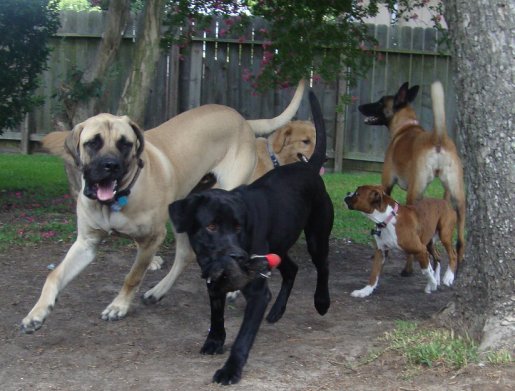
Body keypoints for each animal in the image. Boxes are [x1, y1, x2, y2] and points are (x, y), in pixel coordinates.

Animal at [21, 79, 306, 334]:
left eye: (125, 143)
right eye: (93, 142)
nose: (110, 166)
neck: (116, 199)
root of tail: (242, 119)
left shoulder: (152, 238)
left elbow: (133, 276)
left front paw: (118, 306)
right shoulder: (86, 242)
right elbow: (54, 276)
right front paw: (36, 313)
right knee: (185, 255)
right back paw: (157, 292)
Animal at [169, 91, 334, 386]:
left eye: (238, 227)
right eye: (211, 226)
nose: (237, 255)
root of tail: (310, 168)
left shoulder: (257, 292)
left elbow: (243, 337)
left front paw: (230, 369)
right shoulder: (214, 280)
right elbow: (216, 314)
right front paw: (214, 340)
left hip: (316, 237)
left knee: (322, 266)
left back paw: (321, 302)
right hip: (278, 244)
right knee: (292, 268)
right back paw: (277, 311)